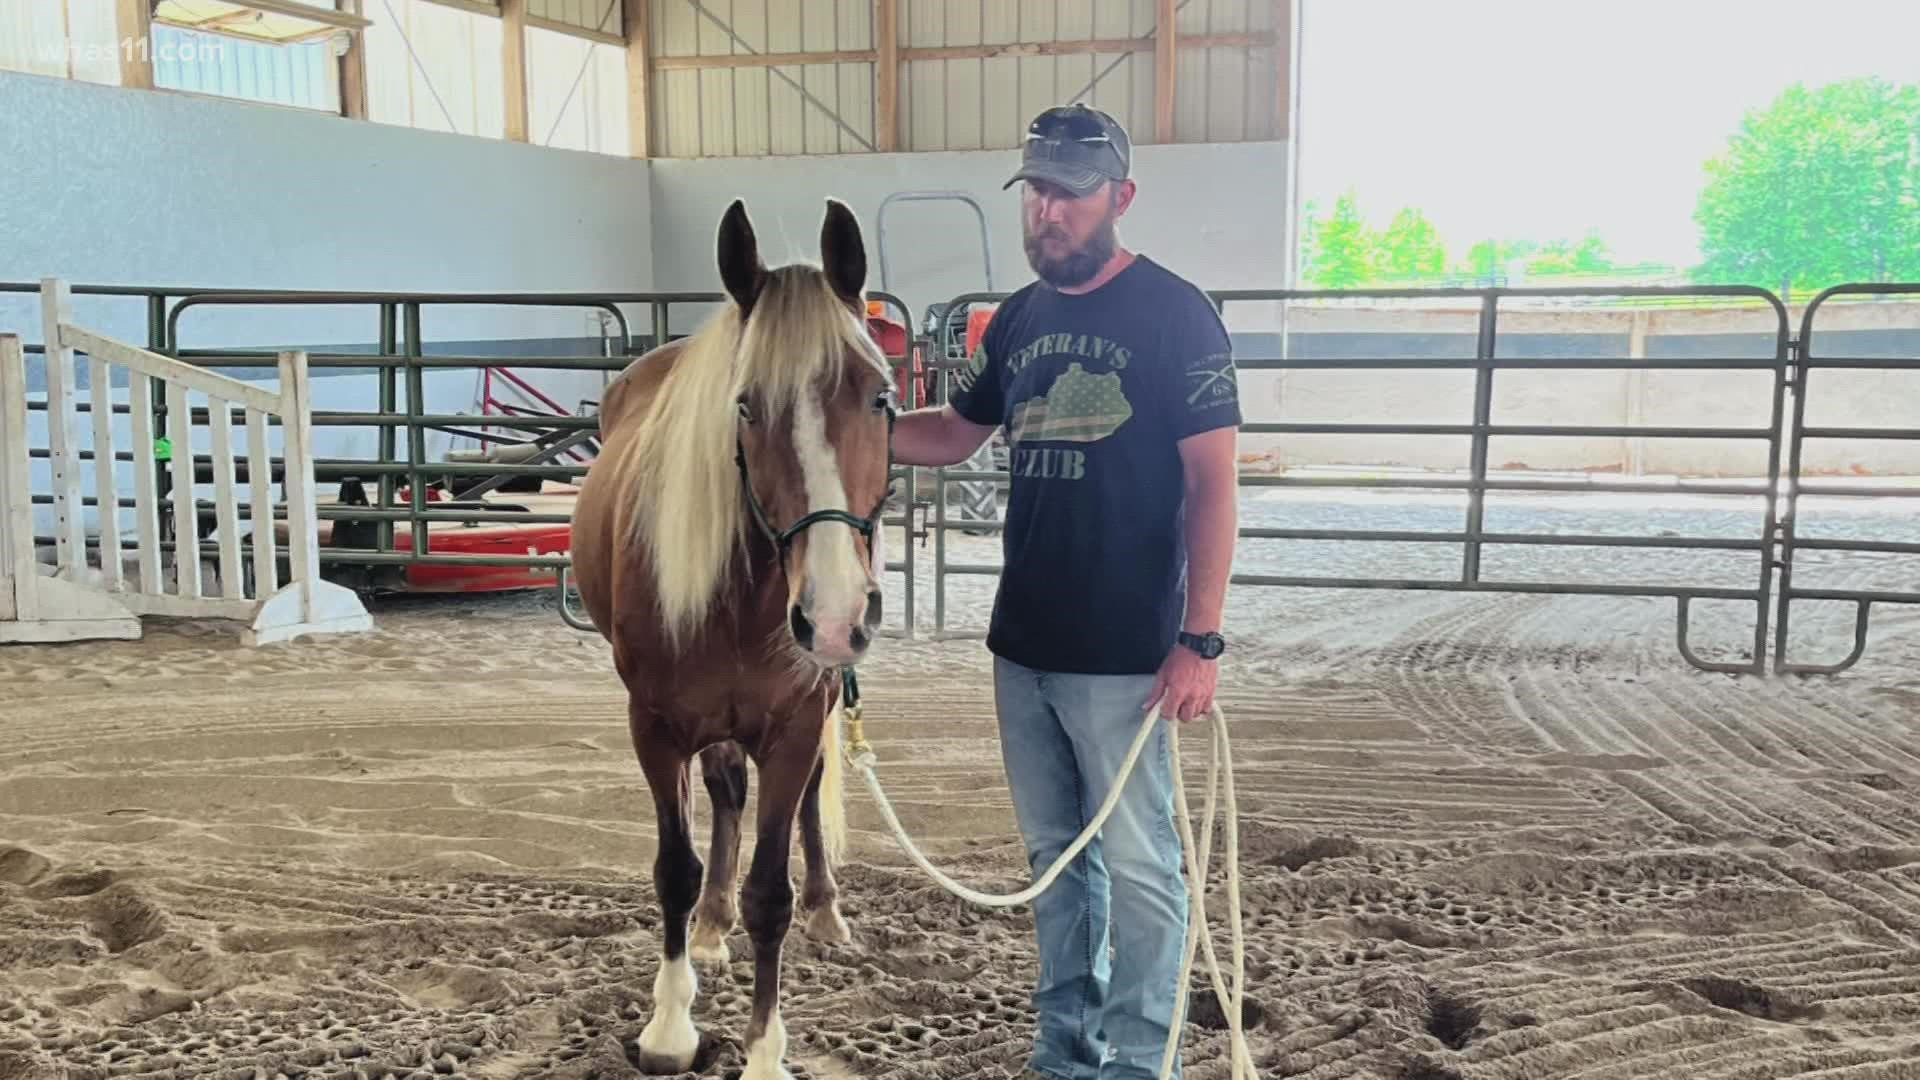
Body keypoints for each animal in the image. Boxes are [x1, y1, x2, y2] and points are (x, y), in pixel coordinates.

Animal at [568, 195, 898, 1076]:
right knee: (722, 795)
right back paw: (712, 929)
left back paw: (828, 912)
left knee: (805, 798)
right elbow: (675, 870)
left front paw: (763, 1050)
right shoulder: (654, 727)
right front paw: (671, 1024)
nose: (835, 614)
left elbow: (770, 893)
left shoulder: (794, 723)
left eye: (880, 396)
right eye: (745, 405)